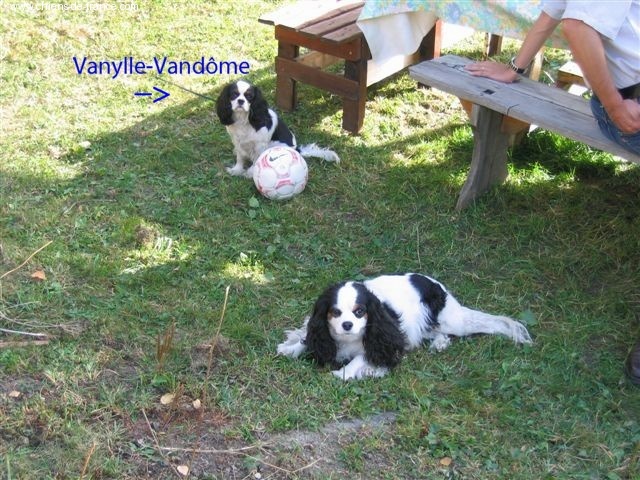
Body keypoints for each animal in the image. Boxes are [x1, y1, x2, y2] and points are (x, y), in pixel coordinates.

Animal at [278, 274, 532, 378]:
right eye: (335, 313)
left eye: (360, 312)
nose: (347, 324)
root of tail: (436, 284)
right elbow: (308, 340)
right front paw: (291, 348)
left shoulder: (386, 340)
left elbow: (360, 359)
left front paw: (344, 373)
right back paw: (439, 343)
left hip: (454, 321)